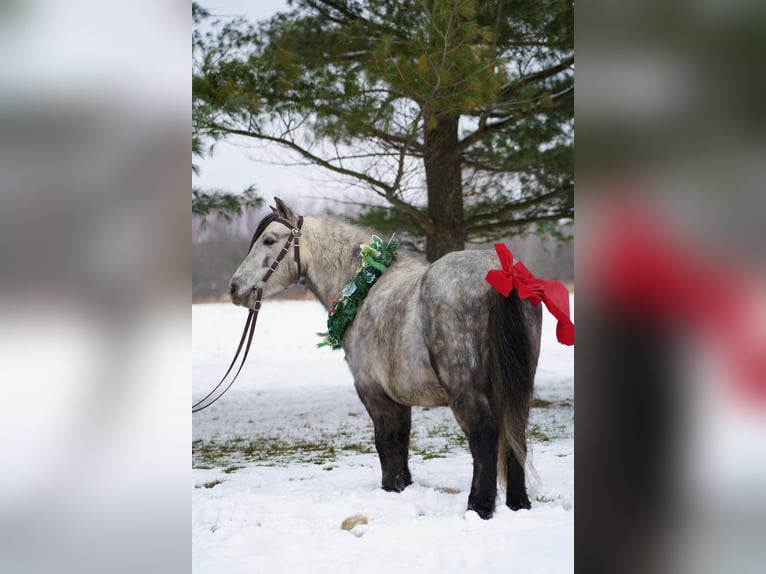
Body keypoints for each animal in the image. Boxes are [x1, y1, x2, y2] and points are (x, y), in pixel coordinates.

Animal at [229, 198, 542, 519]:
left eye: (269, 240)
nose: (235, 287)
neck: (364, 287)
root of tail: (497, 270)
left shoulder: (373, 392)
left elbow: (384, 440)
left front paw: (390, 487)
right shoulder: (399, 398)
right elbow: (400, 440)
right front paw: (403, 485)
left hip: (463, 387)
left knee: (485, 434)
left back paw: (479, 507)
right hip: (513, 388)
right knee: (515, 431)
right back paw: (519, 503)